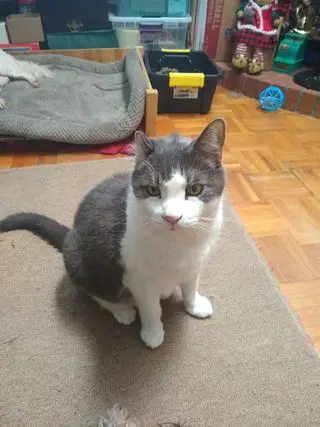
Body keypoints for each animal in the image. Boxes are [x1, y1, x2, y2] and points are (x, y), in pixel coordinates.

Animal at [0, 118, 226, 350]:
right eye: (153, 190)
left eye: (195, 189)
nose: (172, 217)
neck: (179, 243)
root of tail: (69, 235)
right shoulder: (137, 276)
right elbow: (151, 308)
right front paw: (152, 333)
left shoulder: (195, 262)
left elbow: (190, 285)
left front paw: (194, 305)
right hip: (81, 261)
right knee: (96, 291)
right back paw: (122, 309)